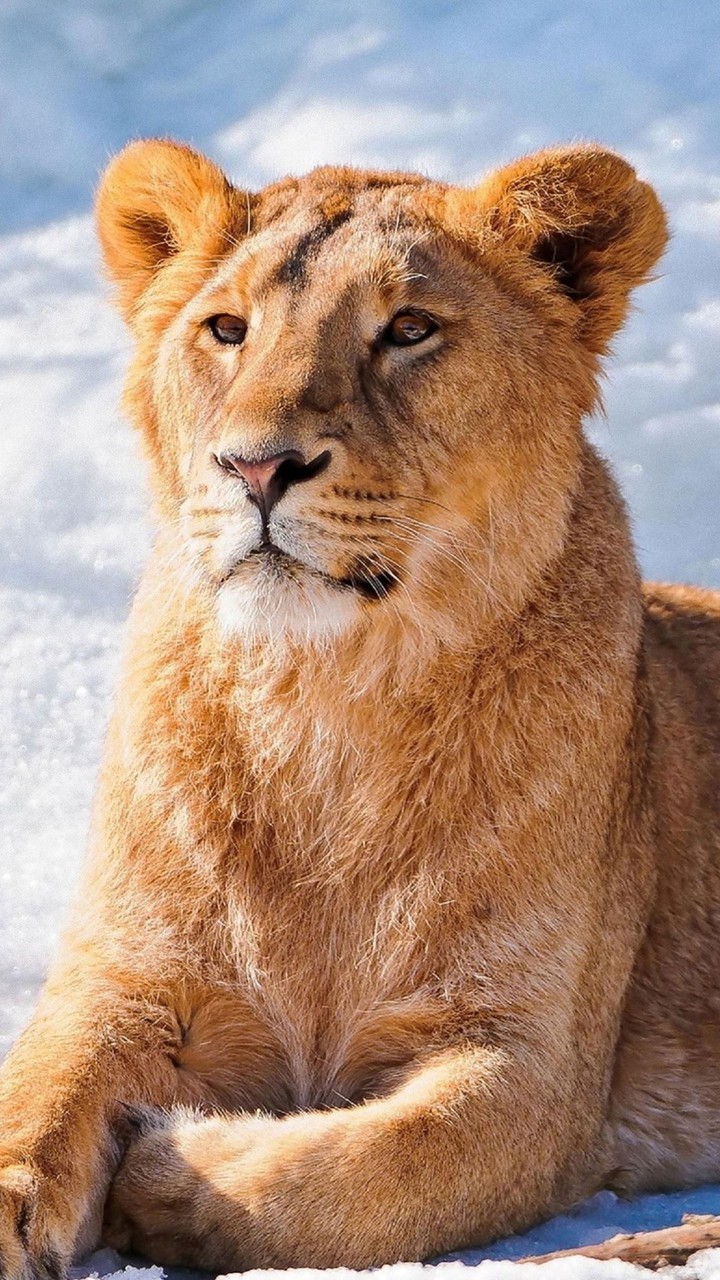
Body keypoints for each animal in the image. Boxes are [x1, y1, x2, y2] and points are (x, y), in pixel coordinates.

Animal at [0, 137, 719, 1279]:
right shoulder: (121, 980)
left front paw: (172, 1169)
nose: (256, 465)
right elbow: (33, 1097)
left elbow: (372, 1171)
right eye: (227, 329)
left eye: (410, 328)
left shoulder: (534, 1069)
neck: (322, 699)